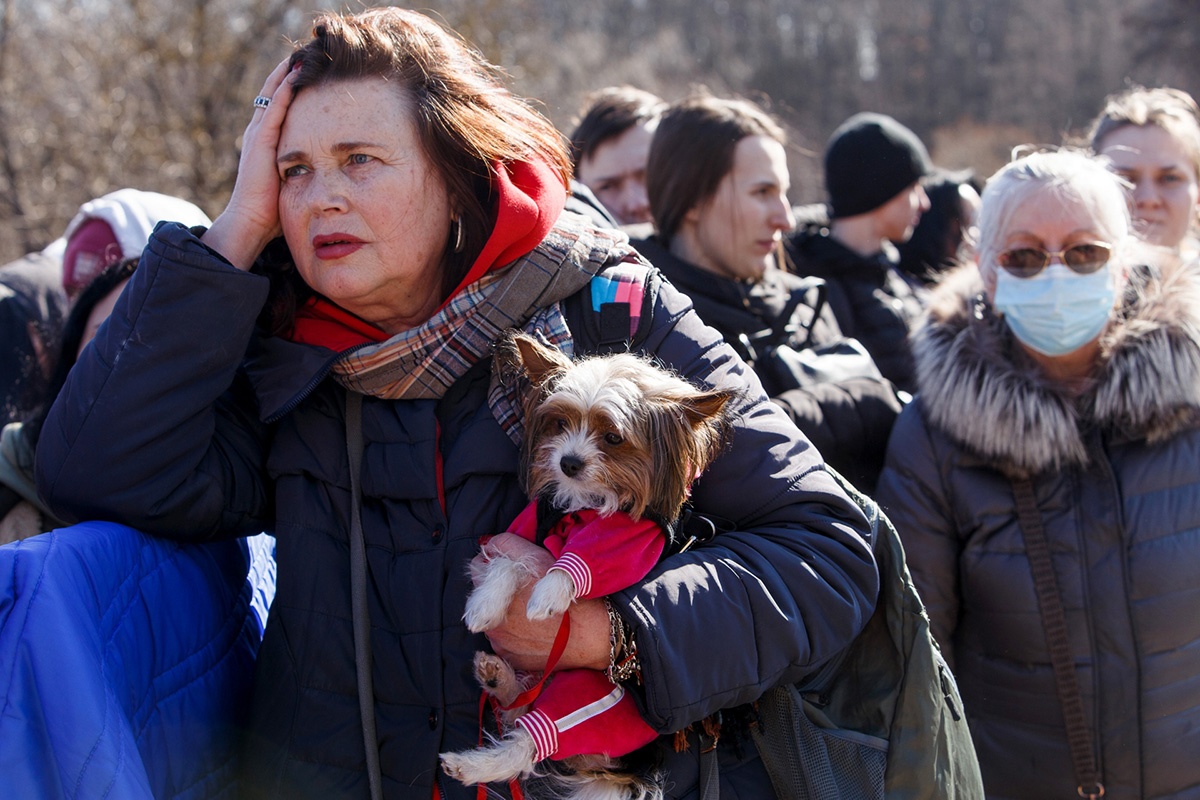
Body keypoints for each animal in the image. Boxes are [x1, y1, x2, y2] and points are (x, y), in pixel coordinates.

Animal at [441, 333, 734, 800]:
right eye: (559, 423)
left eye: (613, 437)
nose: (568, 463)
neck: (580, 509)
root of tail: (619, 767)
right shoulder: (518, 533)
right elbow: (511, 561)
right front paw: (485, 605)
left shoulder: (629, 544)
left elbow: (576, 565)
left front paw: (546, 595)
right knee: (517, 711)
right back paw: (497, 678)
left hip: (591, 697)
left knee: (529, 741)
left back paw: (471, 765)